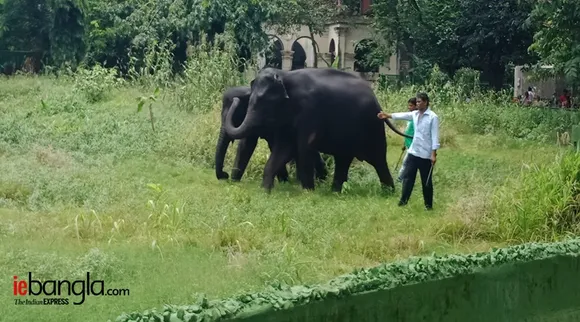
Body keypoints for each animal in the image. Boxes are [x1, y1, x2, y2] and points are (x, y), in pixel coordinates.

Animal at [222, 67, 412, 194]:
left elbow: (304, 146)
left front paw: (307, 192)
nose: (224, 175)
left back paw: (388, 193)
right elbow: (283, 148)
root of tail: (378, 103)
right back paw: (335, 192)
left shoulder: (310, 111)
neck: (285, 75)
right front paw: (265, 191)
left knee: (378, 159)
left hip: (373, 128)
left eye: (263, 102)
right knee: (343, 159)